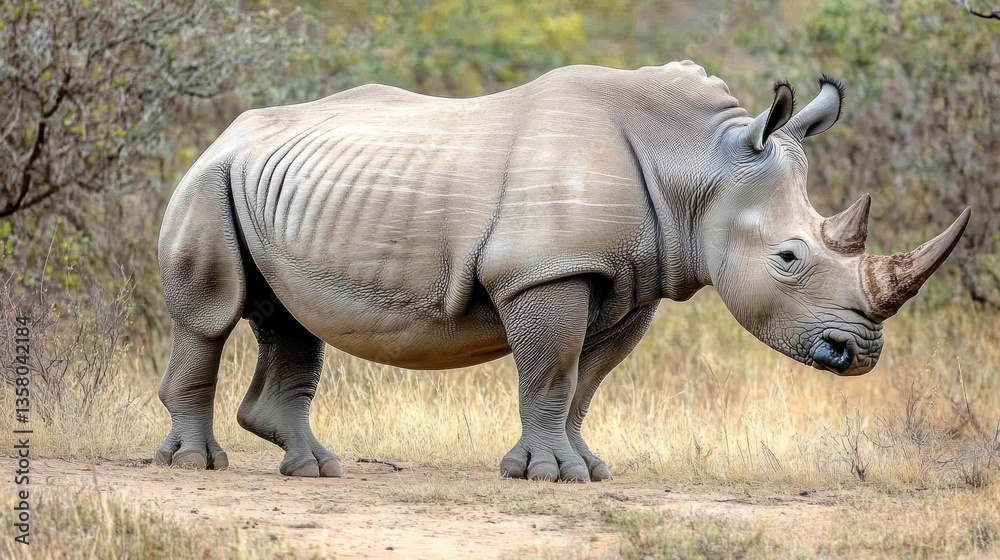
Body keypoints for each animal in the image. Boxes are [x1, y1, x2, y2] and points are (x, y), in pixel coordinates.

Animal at [155, 61, 969, 482]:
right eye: (790, 259)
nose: (857, 354)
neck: (698, 167)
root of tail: (226, 130)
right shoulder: (544, 271)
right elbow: (550, 367)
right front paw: (548, 474)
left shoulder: (634, 279)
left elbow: (587, 378)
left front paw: (586, 468)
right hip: (209, 178)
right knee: (211, 314)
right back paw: (196, 465)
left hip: (271, 186)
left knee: (290, 319)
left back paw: (315, 468)